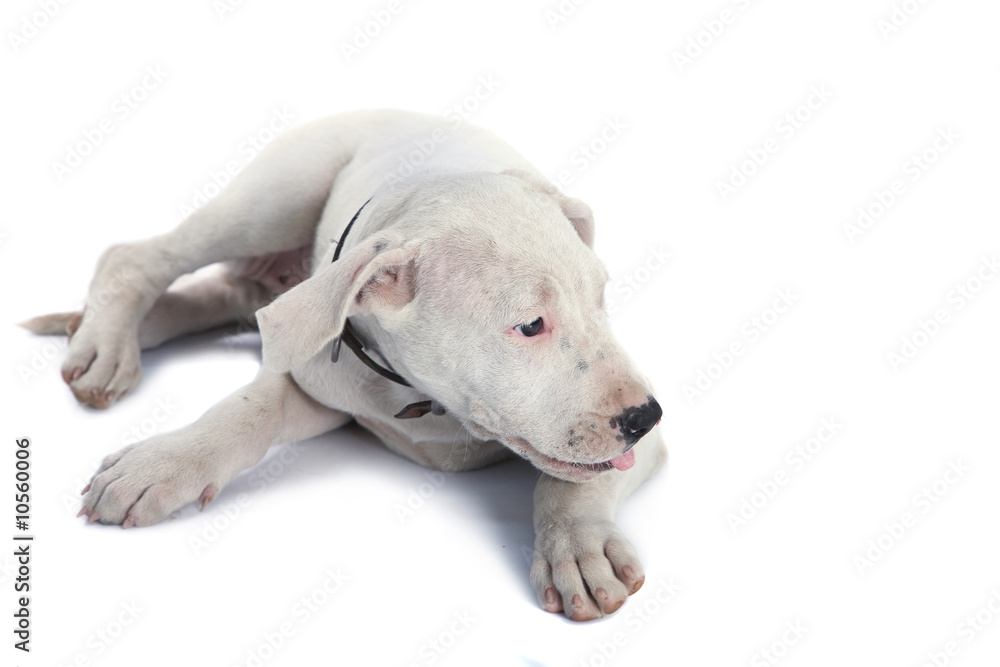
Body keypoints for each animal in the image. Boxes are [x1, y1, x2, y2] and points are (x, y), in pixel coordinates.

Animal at [23, 109, 664, 620]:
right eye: (530, 324)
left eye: (601, 298)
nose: (645, 415)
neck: (427, 402)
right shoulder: (318, 376)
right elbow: (247, 409)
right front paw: (158, 465)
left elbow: (574, 480)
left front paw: (579, 550)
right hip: (270, 202)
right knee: (138, 257)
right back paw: (104, 347)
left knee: (225, 297)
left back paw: (100, 329)